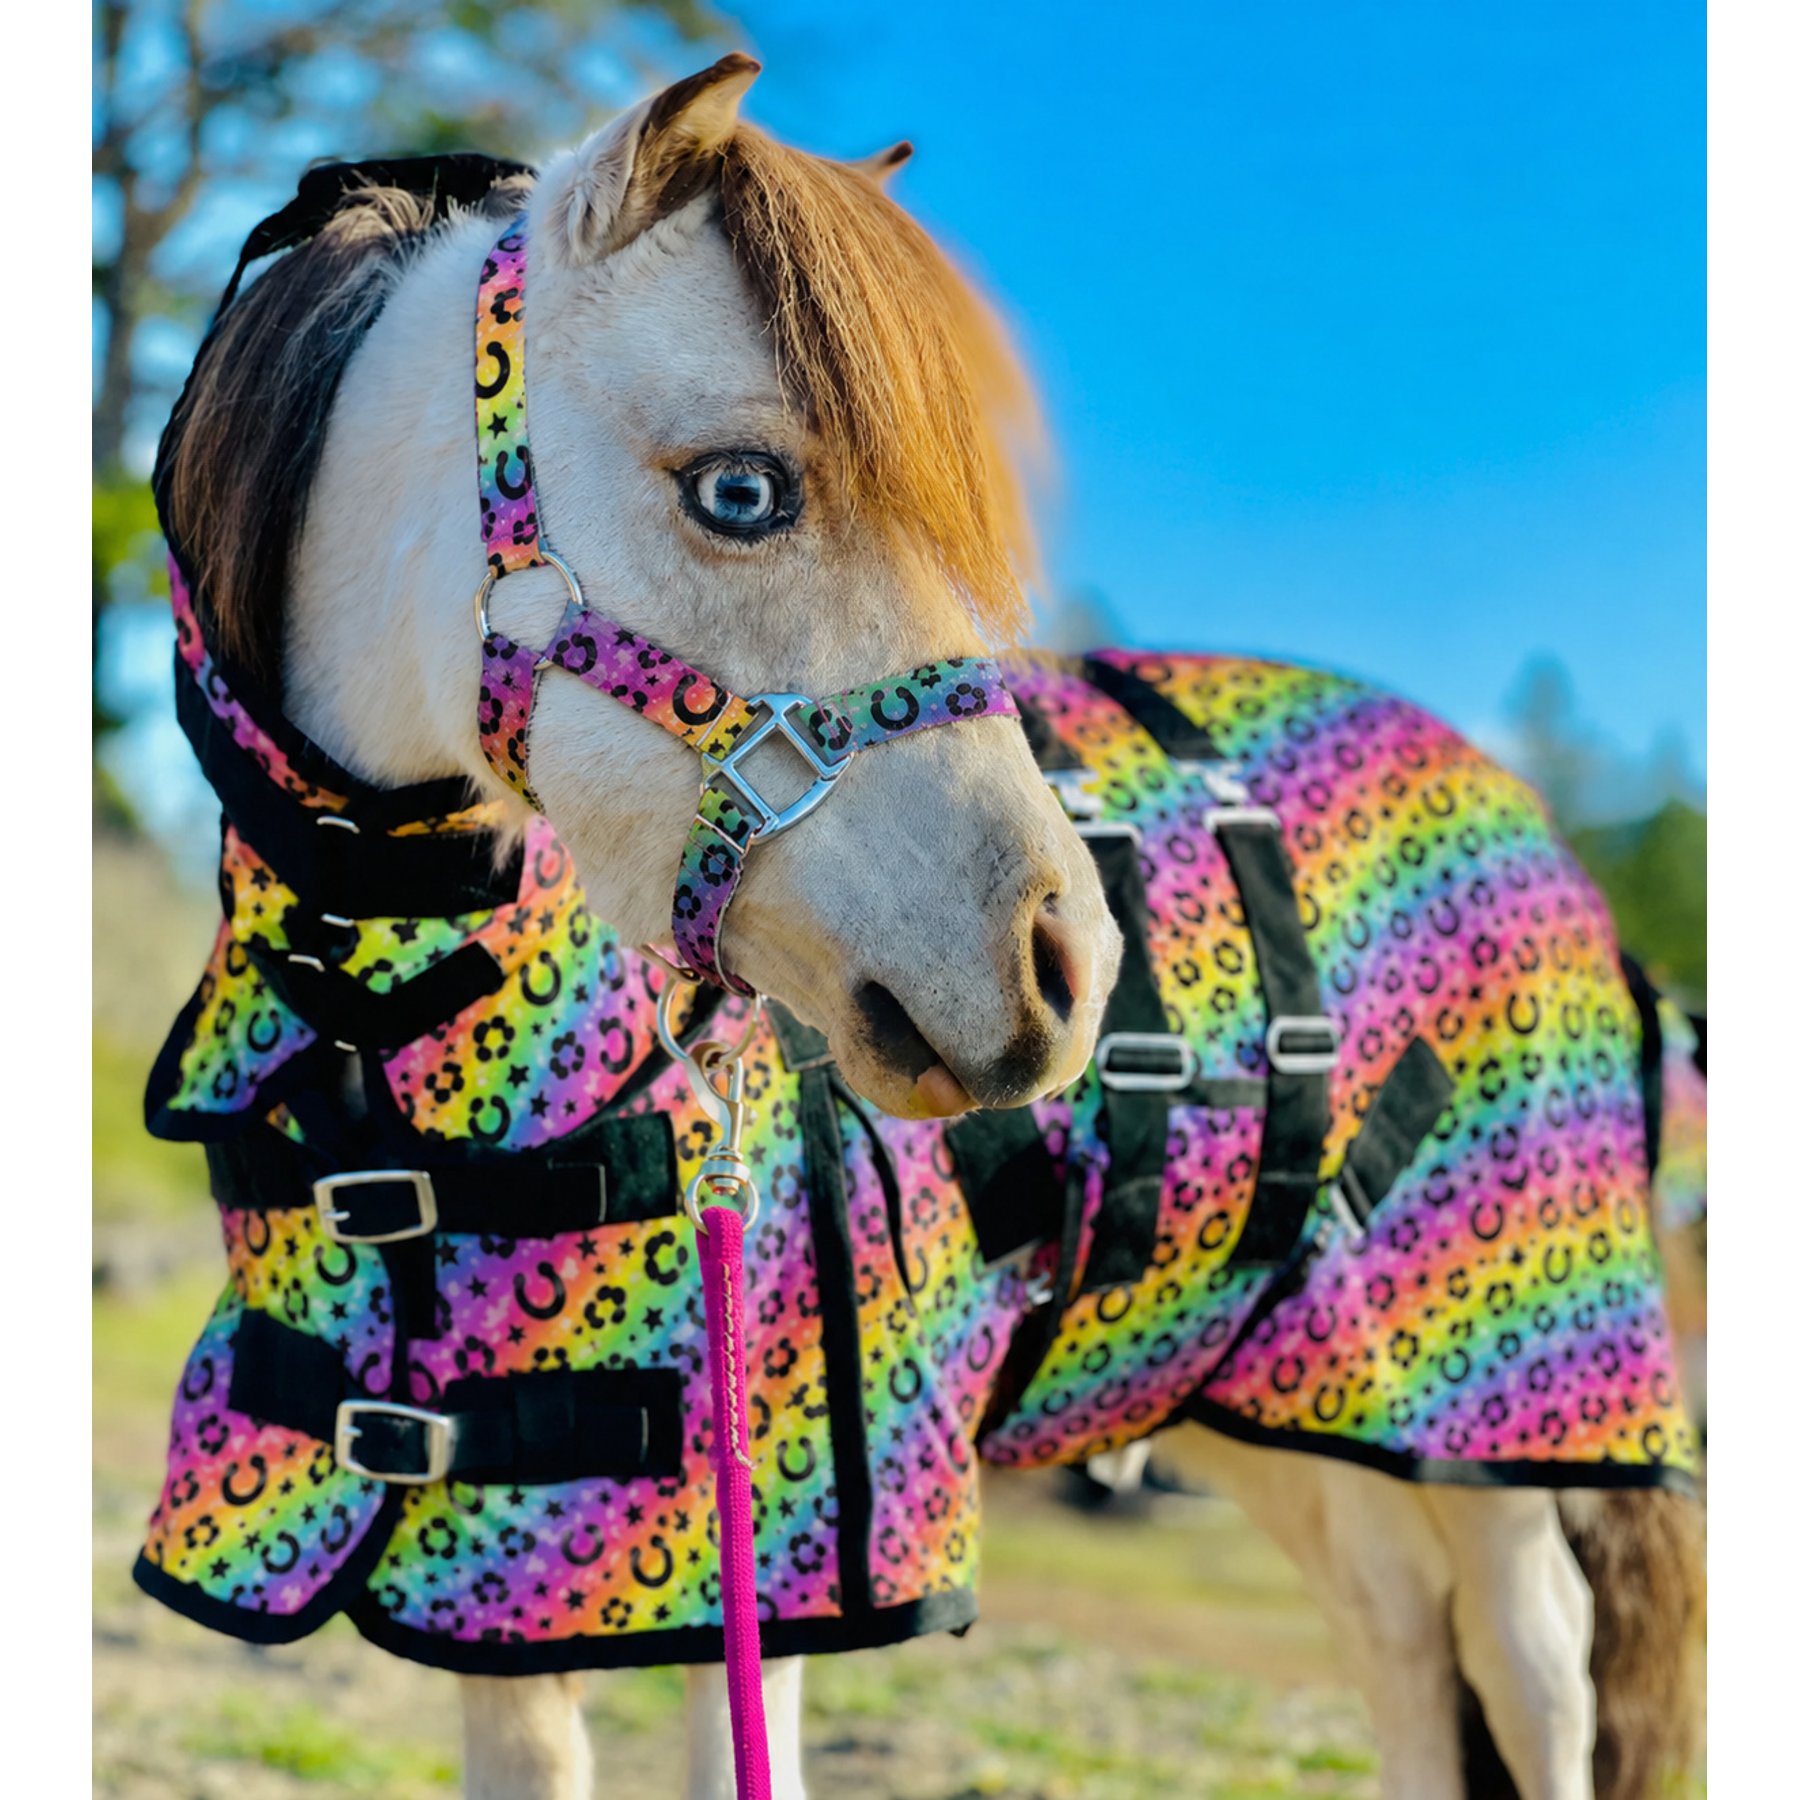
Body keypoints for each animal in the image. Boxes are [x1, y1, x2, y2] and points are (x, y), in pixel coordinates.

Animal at [131, 54, 1701, 1800]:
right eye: (743, 489)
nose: (1064, 970)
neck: (397, 1040)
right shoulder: (503, 1606)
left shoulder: (768, 1582)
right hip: (1294, 1409)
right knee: (1403, 1661)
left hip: (1493, 1433)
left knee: (1530, 1681)